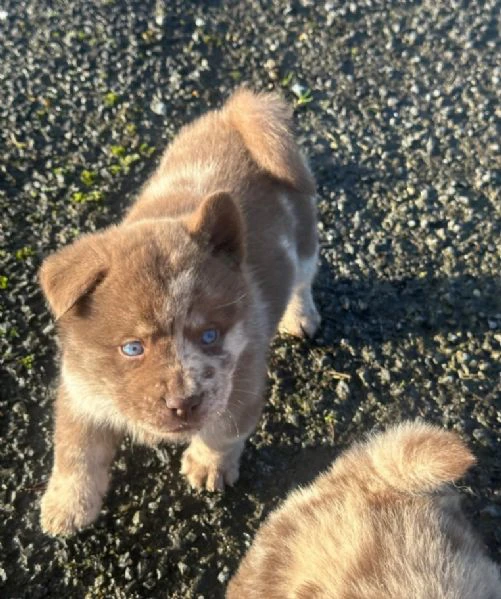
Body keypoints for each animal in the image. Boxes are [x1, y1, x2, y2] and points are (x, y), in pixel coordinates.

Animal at [40, 91, 320, 536]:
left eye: (210, 336)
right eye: (132, 348)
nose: (183, 403)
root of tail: (236, 115)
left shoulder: (241, 385)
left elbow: (222, 434)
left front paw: (207, 466)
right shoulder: (80, 392)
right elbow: (75, 454)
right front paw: (67, 506)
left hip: (306, 236)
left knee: (303, 279)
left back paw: (300, 316)